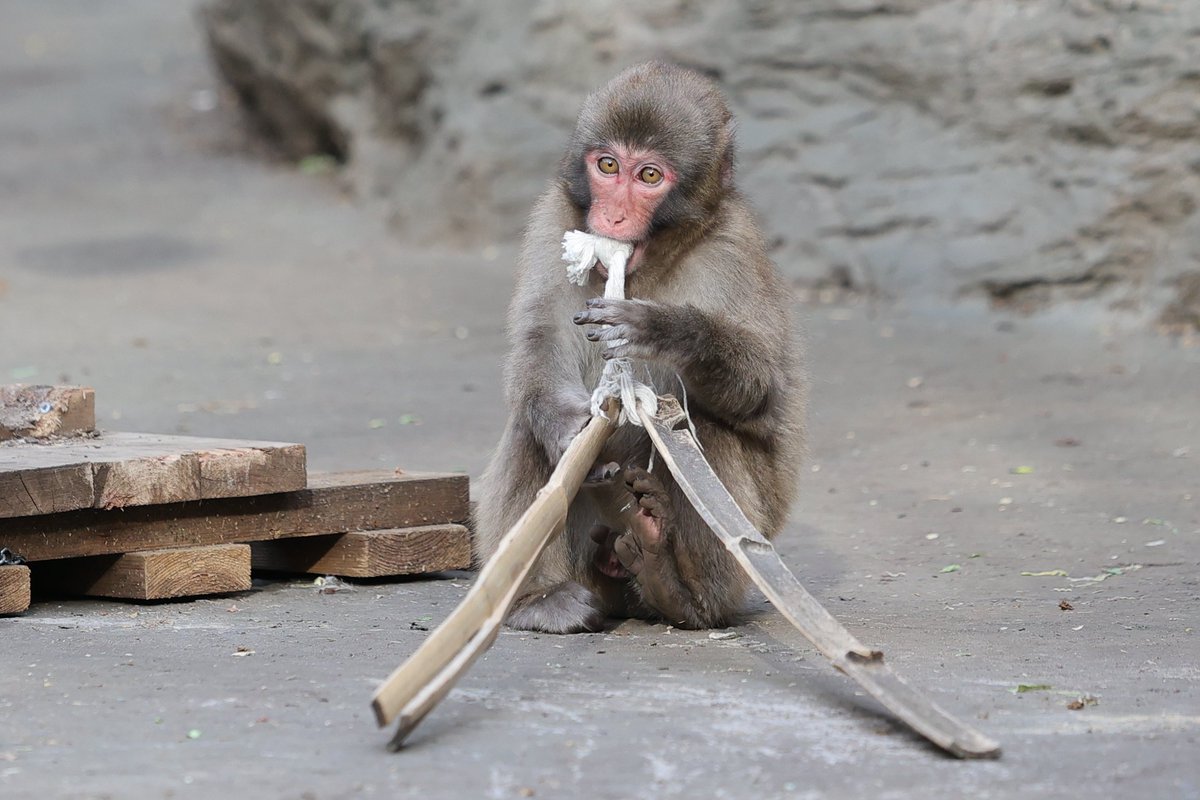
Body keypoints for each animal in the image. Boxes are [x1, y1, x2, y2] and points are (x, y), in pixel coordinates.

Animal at [470, 62, 806, 633]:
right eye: (608, 166)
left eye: (650, 176)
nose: (612, 219)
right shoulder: (554, 219)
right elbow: (541, 340)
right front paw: (565, 426)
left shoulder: (732, 247)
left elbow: (765, 390)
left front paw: (664, 331)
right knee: (527, 427)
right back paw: (540, 597)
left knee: (703, 428)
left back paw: (677, 587)